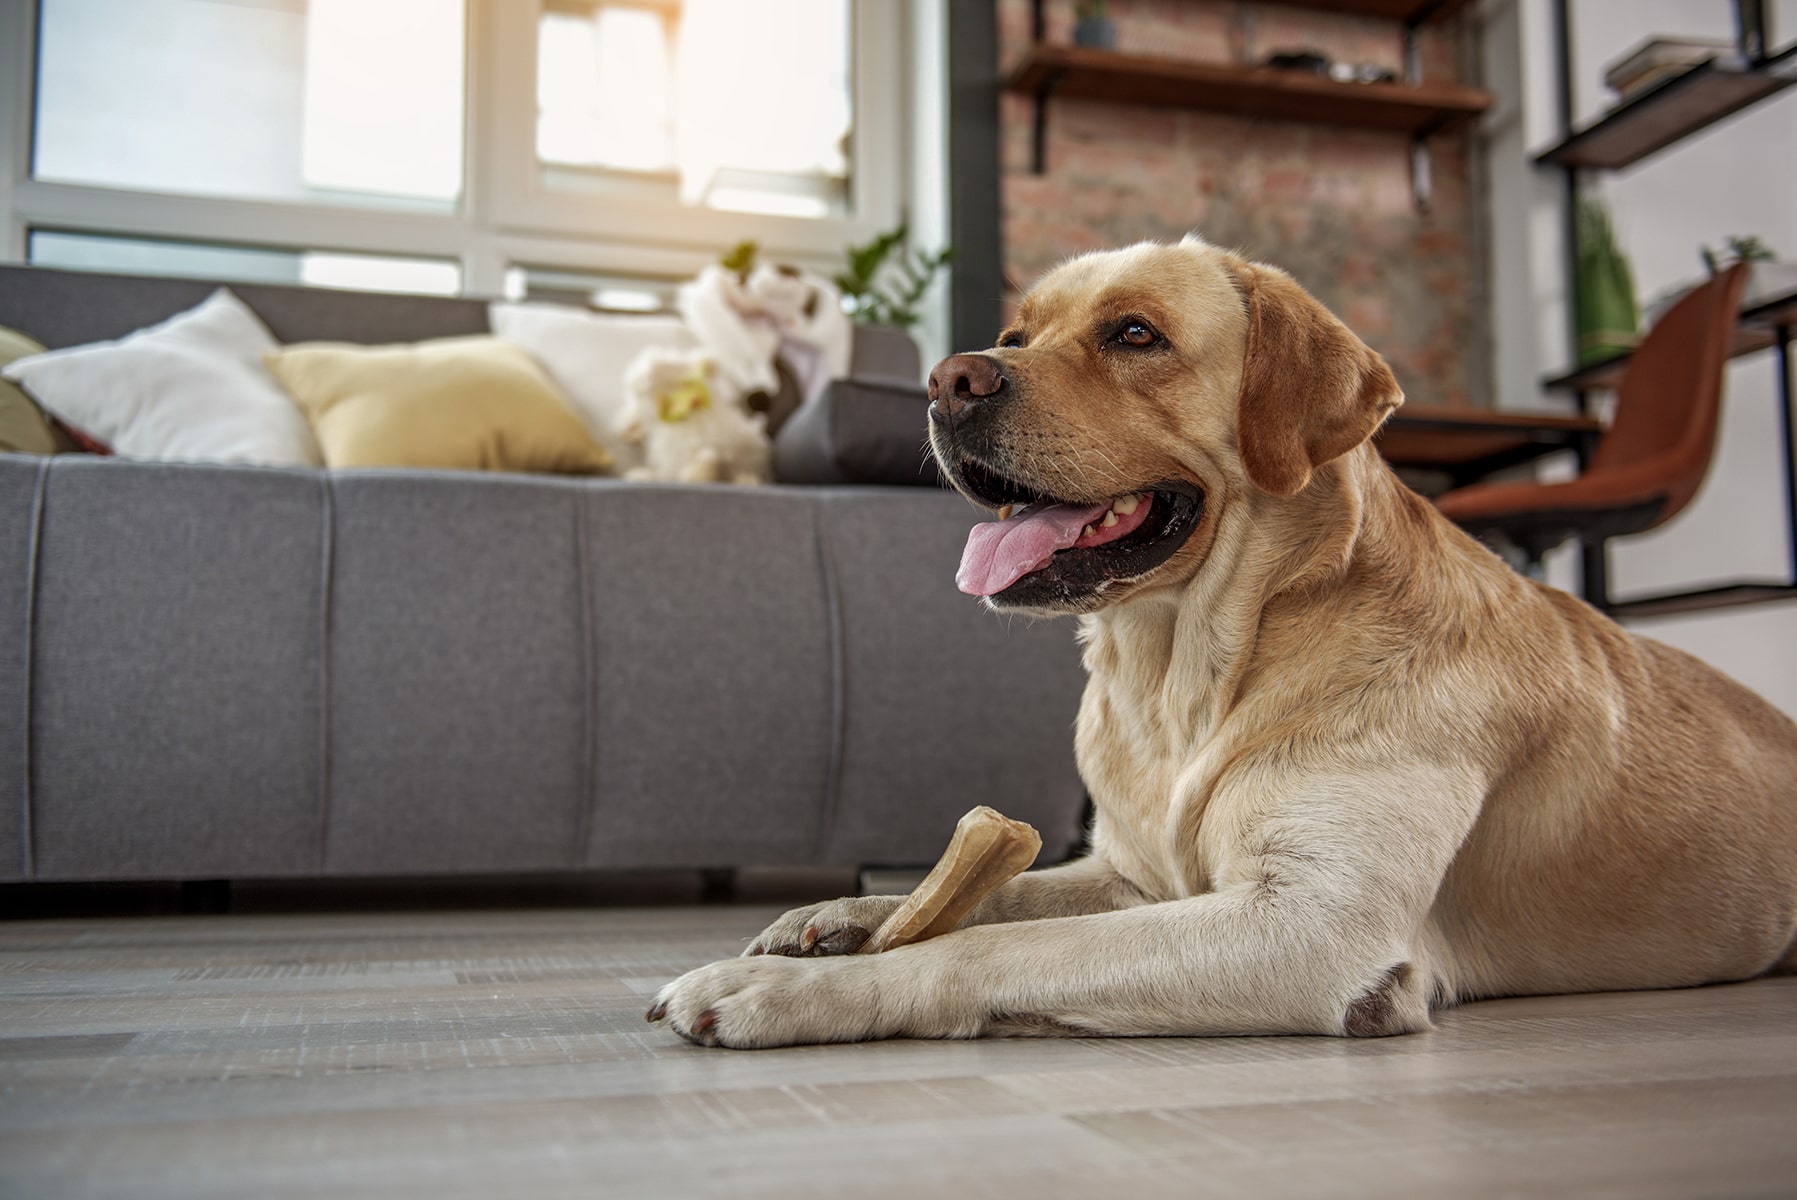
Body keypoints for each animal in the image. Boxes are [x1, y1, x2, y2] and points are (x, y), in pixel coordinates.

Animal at [646, 237, 1797, 1049]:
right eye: (1016, 337)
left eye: (1134, 335)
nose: (947, 380)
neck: (1186, 674)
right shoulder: (1131, 872)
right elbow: (1000, 892)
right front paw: (841, 913)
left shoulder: (1310, 926)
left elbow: (999, 942)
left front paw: (793, 987)